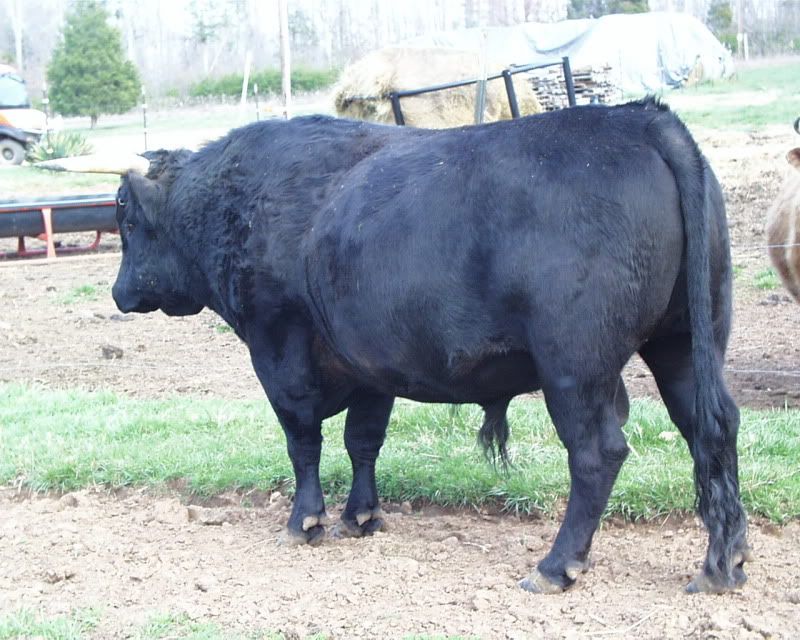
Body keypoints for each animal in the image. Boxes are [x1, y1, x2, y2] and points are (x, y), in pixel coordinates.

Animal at [39, 97, 749, 594]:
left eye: (124, 211)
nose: (119, 293)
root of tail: (641, 118)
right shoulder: (369, 363)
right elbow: (363, 440)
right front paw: (363, 516)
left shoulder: (279, 344)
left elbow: (302, 439)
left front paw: (305, 522)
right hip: (686, 341)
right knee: (712, 429)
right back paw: (724, 562)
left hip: (577, 366)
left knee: (598, 452)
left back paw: (556, 565)